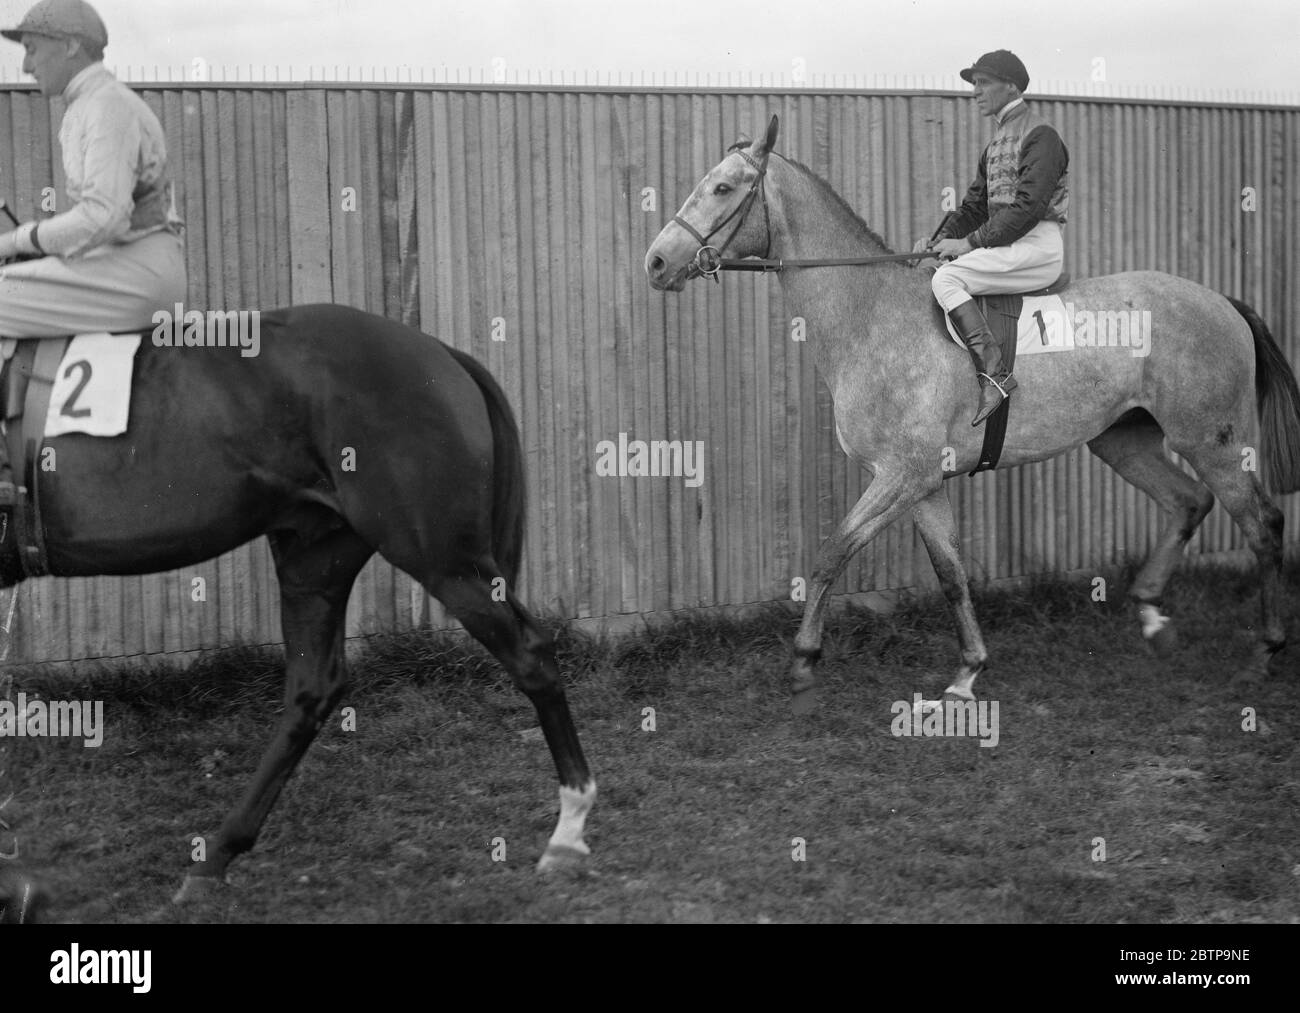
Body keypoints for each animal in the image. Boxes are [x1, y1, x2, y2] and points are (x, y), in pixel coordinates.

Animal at [0, 305, 595, 915]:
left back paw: (568, 832)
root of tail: (440, 352)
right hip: (316, 562)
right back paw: (216, 857)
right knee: (313, 690)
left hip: (444, 561)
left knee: (529, 653)